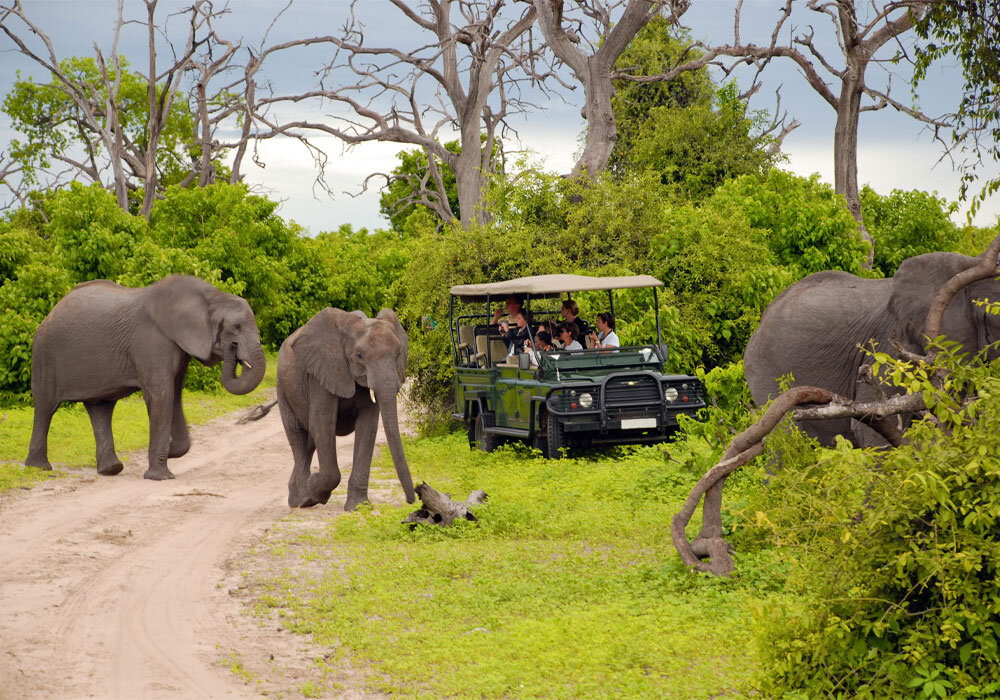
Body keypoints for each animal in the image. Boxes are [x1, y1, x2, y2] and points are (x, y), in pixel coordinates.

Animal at [26, 276, 268, 478]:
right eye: (235, 327)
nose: (232, 348)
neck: (211, 296)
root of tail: (50, 312)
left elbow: (175, 396)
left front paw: (169, 451)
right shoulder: (151, 341)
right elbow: (162, 396)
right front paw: (160, 476)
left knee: (100, 408)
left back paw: (111, 469)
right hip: (45, 354)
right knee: (46, 407)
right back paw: (39, 468)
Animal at [268, 306, 416, 508]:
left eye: (398, 354)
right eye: (359, 356)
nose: (412, 500)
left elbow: (368, 428)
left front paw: (358, 507)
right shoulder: (321, 373)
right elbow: (322, 424)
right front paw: (315, 490)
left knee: (310, 442)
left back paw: (296, 498)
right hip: (283, 387)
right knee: (298, 436)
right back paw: (304, 500)